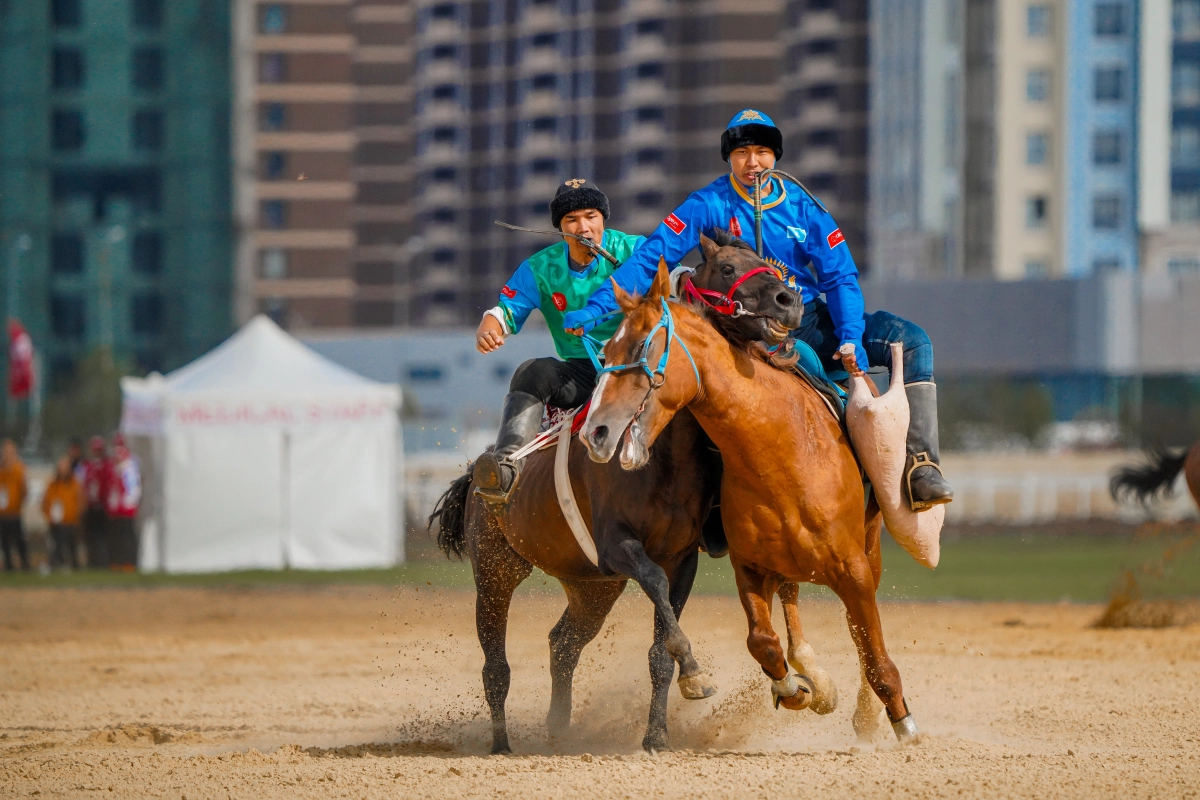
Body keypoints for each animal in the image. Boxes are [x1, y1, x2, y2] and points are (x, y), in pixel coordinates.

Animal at [427, 232, 801, 758]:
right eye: (727, 267)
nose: (789, 300)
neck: (660, 456)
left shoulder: (680, 557)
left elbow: (661, 647)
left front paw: (658, 733)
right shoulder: (621, 546)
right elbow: (658, 593)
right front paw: (695, 673)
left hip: (591, 587)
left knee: (562, 644)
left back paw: (559, 728)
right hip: (497, 571)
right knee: (495, 666)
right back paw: (501, 744)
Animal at [580, 261, 916, 743]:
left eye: (643, 345)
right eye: (605, 350)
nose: (596, 431)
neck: (780, 451)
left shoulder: (852, 569)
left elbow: (873, 650)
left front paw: (901, 723)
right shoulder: (750, 567)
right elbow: (762, 642)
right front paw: (795, 688)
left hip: (868, 546)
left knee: (860, 634)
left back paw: (864, 711)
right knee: (792, 602)